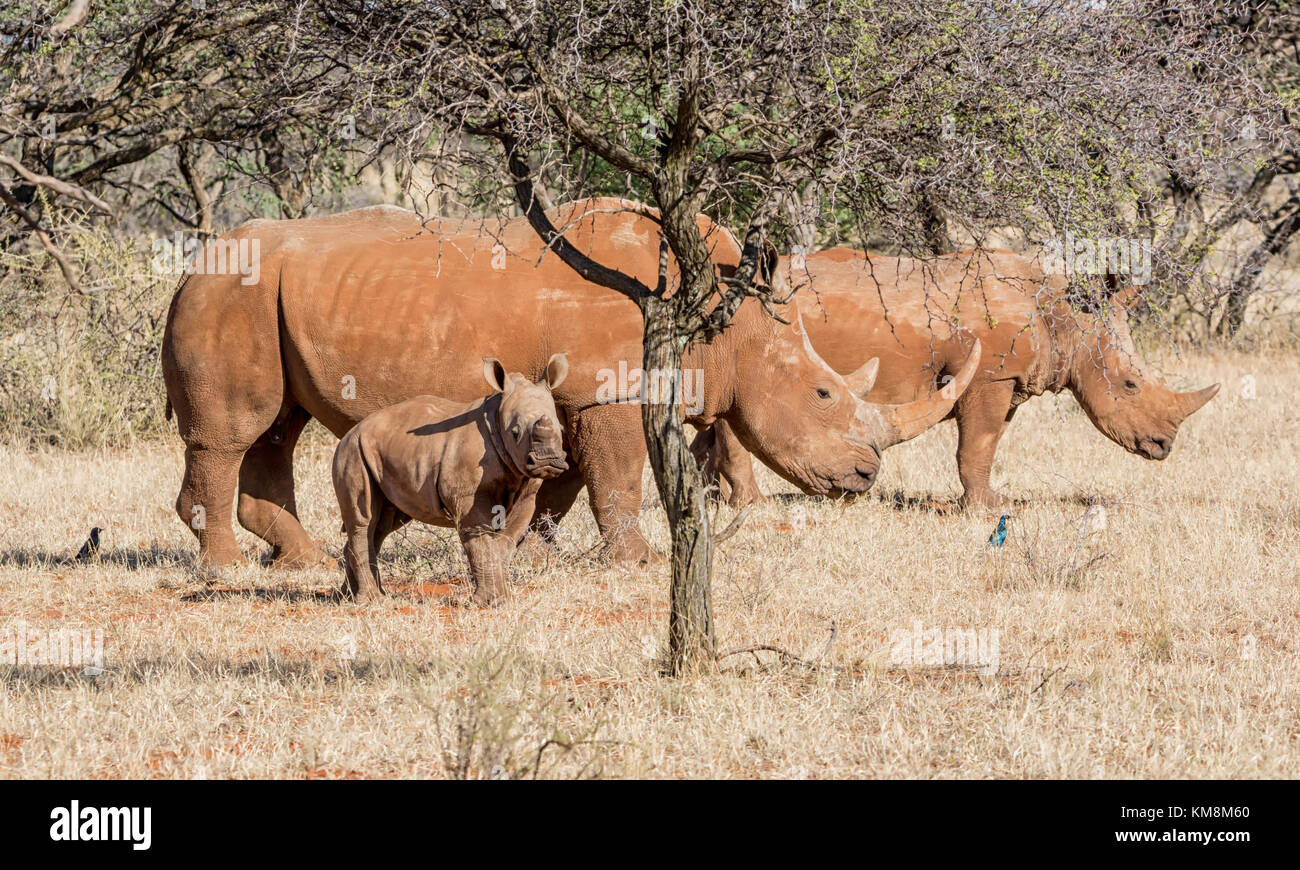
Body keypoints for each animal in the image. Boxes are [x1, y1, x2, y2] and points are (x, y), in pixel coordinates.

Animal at [332, 356, 566, 600]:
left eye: (561, 430)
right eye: (515, 433)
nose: (548, 461)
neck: (497, 418)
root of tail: (351, 432)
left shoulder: (526, 491)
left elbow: (506, 541)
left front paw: (502, 598)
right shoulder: (467, 494)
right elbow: (480, 540)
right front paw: (486, 601)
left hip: (381, 453)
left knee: (382, 525)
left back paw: (349, 597)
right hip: (352, 451)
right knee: (364, 520)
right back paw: (370, 600)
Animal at [702, 249, 1216, 509]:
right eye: (1129, 385)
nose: (1163, 447)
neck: (1066, 318)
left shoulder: (1006, 382)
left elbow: (987, 445)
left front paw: (987, 499)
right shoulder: (990, 376)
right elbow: (977, 446)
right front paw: (987, 509)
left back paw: (711, 498)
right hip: (752, 343)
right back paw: (752, 506)